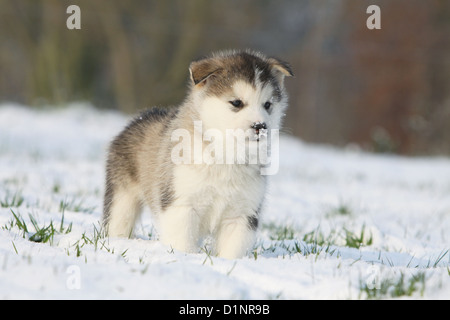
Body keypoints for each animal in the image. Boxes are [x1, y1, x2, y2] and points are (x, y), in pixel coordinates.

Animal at [103, 50, 292, 260]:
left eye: (267, 105)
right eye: (236, 102)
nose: (260, 126)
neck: (226, 155)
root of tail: (142, 116)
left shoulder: (242, 214)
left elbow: (233, 251)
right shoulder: (181, 205)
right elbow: (182, 243)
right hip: (121, 198)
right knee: (118, 220)